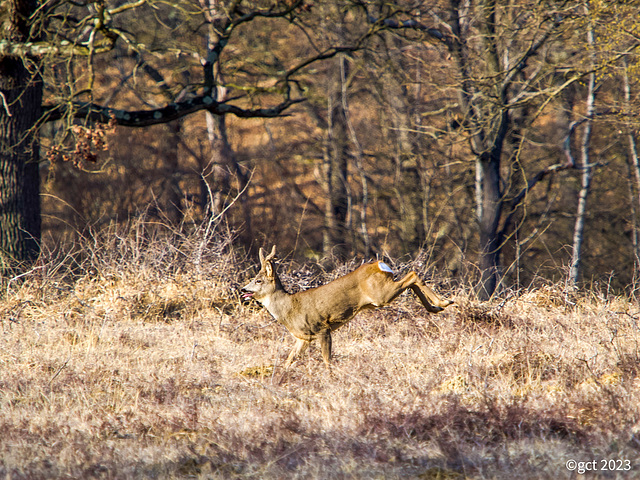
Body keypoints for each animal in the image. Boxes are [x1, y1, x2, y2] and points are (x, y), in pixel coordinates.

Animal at [241, 246, 456, 370]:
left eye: (258, 280)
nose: (243, 290)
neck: (289, 309)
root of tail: (381, 264)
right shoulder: (303, 338)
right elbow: (289, 360)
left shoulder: (322, 328)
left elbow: (327, 360)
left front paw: (330, 379)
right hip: (383, 293)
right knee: (412, 278)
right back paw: (436, 307)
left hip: (381, 295)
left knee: (413, 274)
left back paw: (444, 303)